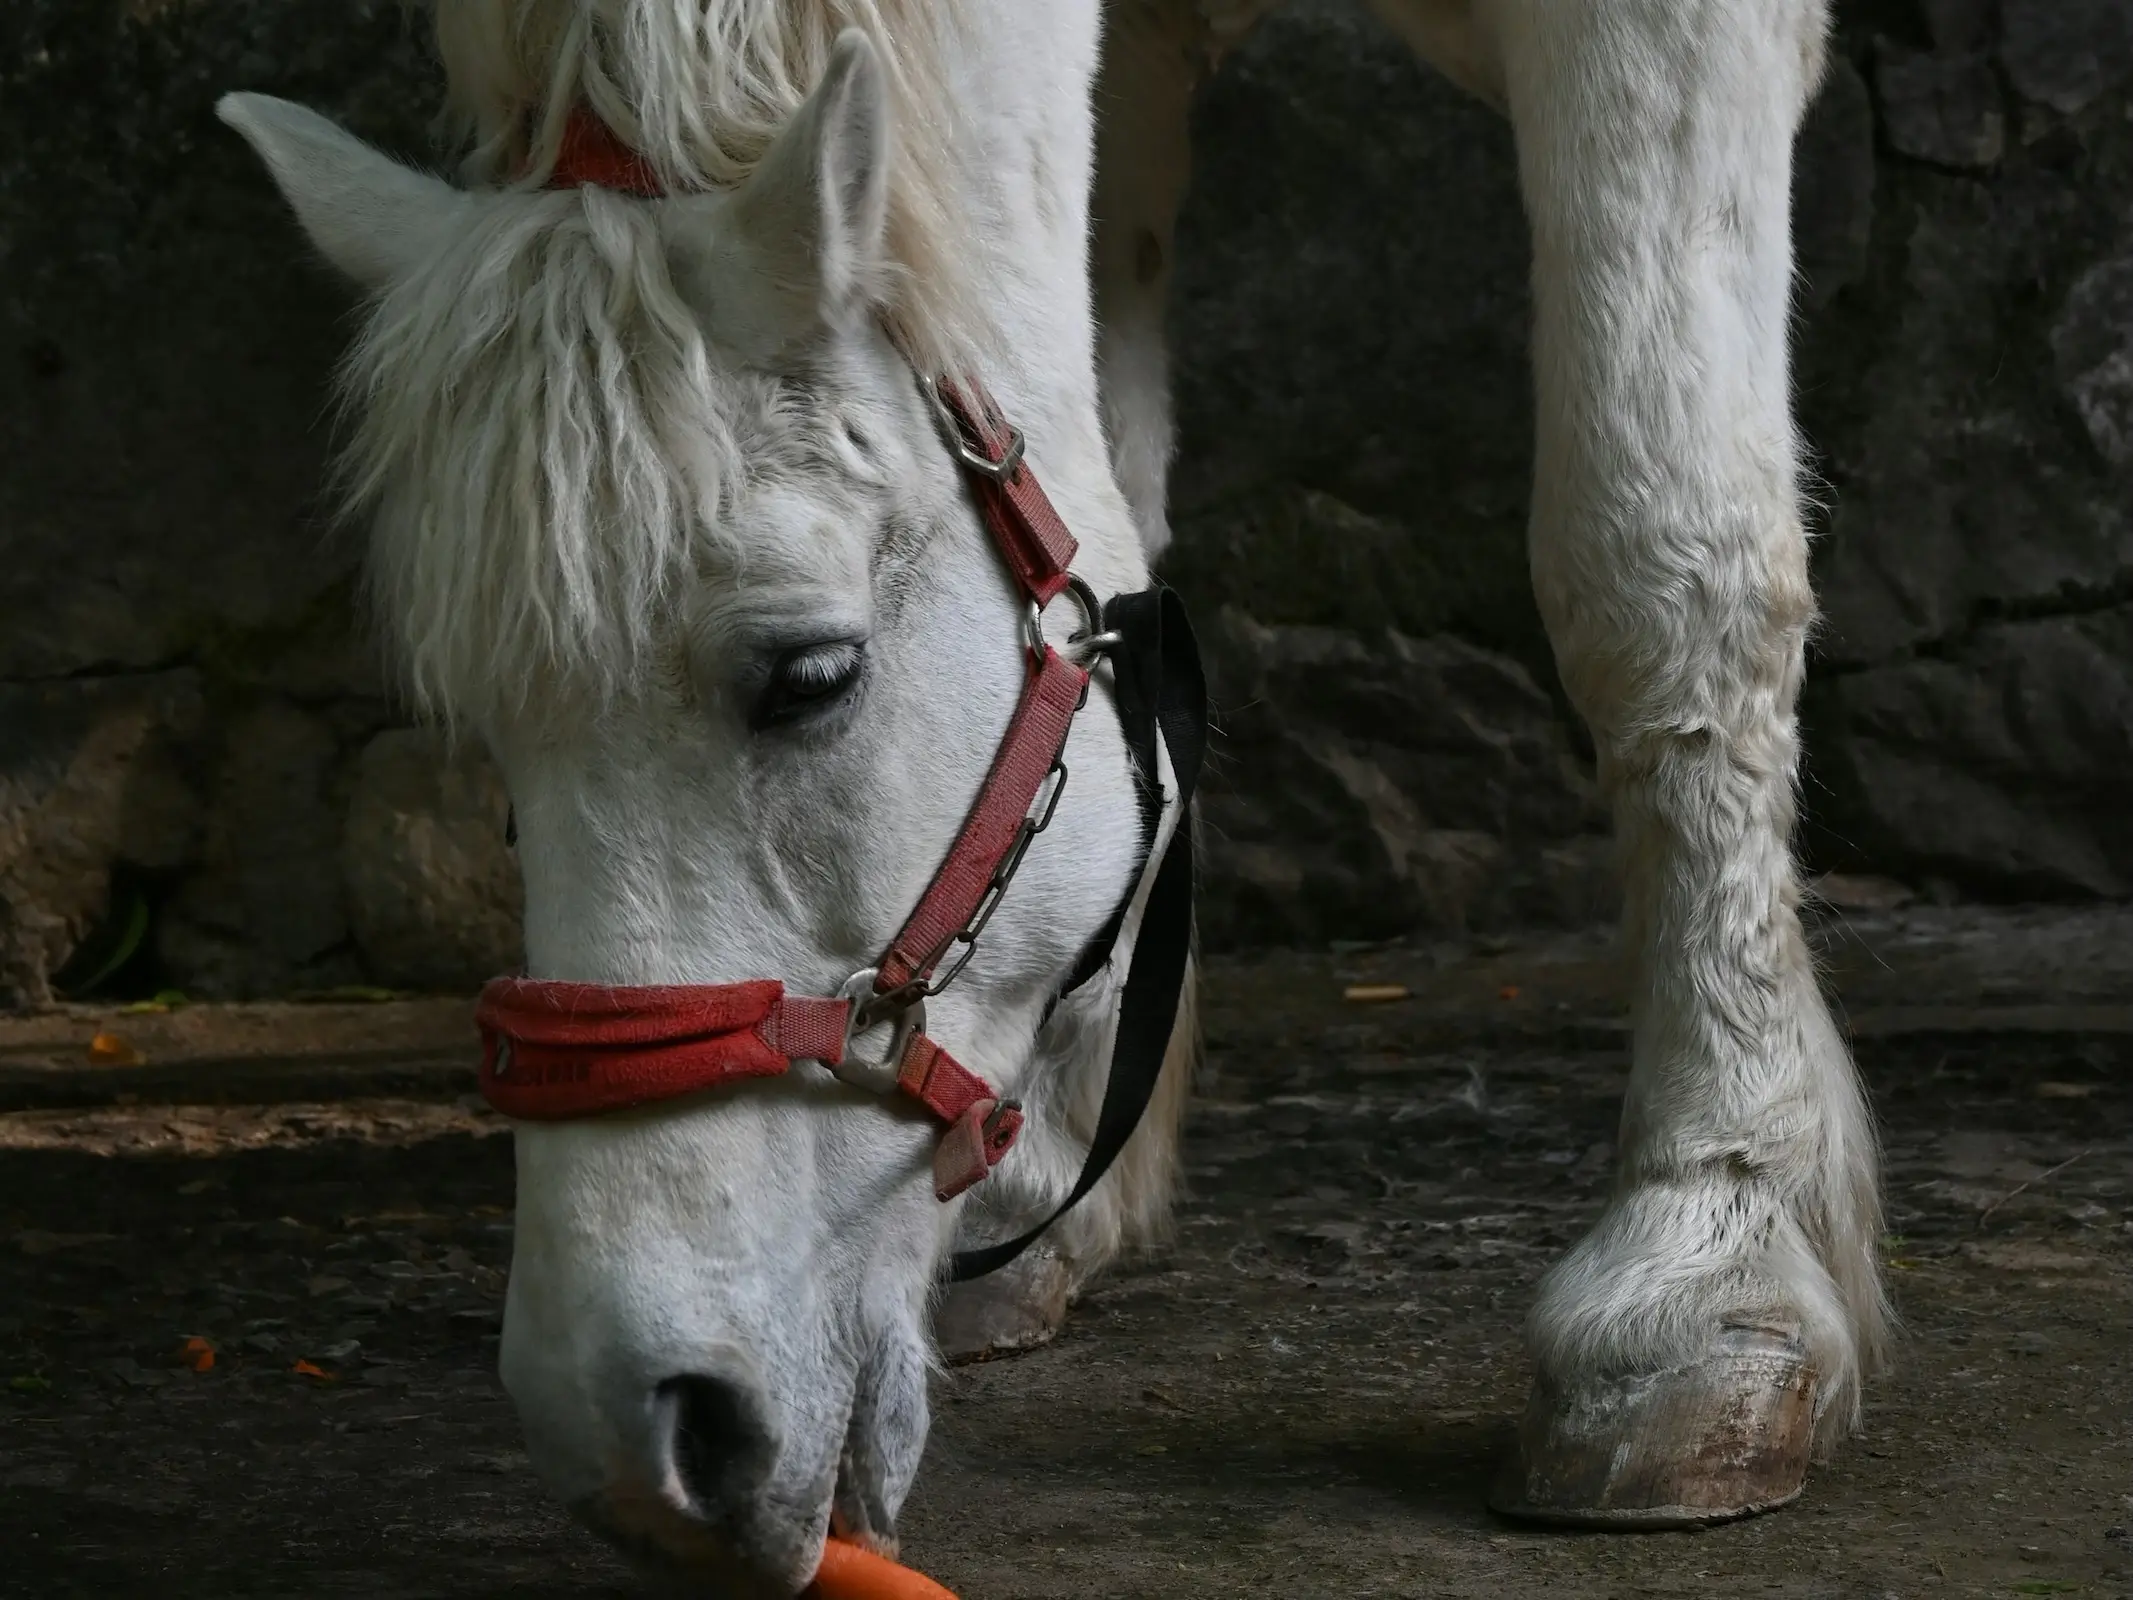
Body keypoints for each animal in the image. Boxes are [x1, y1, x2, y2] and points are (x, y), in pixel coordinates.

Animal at [214, 0, 1886, 1590]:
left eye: (808, 675)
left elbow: (1654, 554)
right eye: (500, 758)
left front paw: (1710, 1261)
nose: (635, 1439)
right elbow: (1112, 492)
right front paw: (1062, 1167)